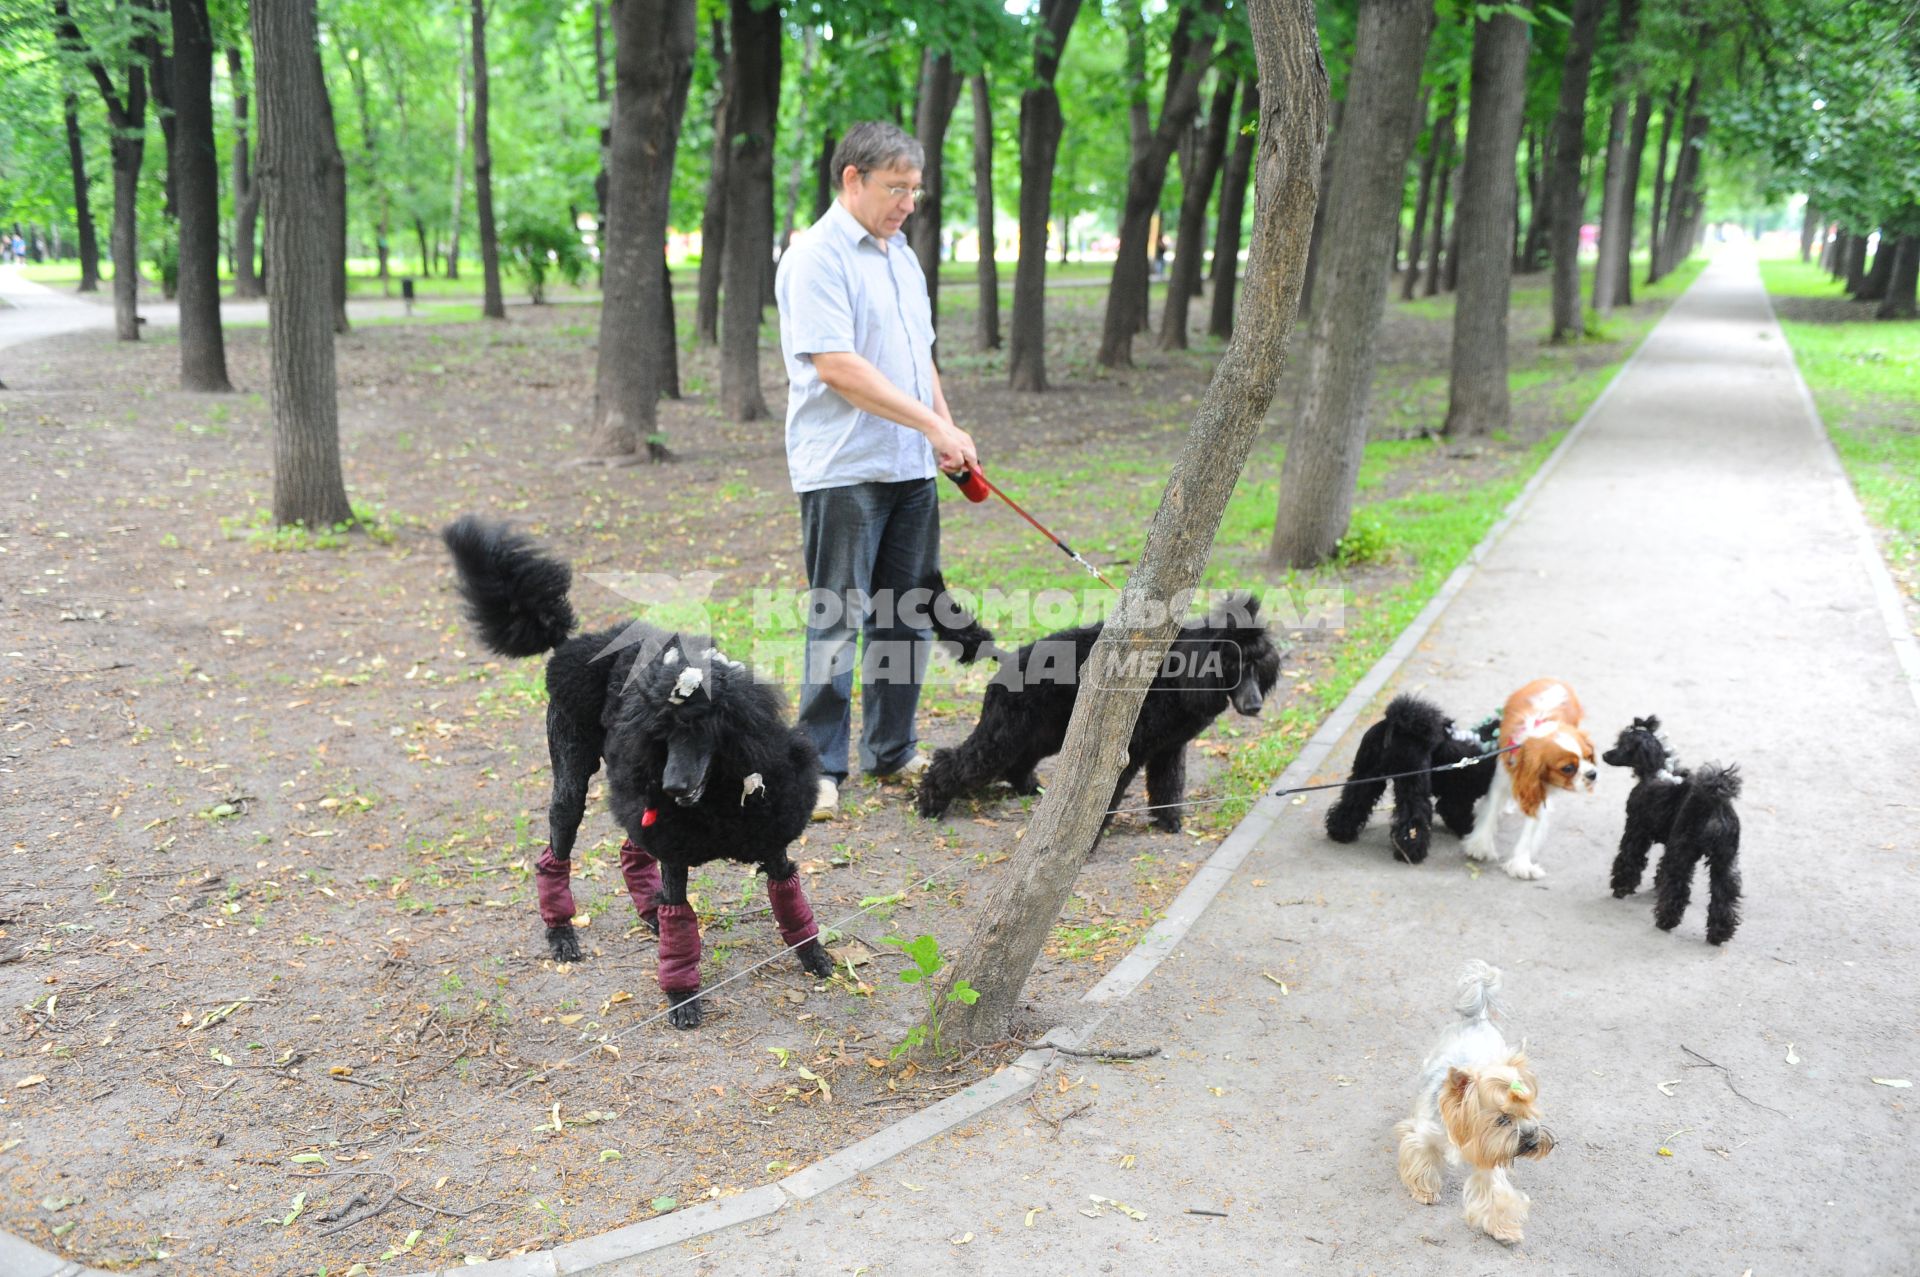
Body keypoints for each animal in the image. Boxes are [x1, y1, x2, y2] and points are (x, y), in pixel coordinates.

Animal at [1459, 675, 1597, 875]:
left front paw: (1521, 864)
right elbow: (1491, 811)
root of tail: (1554, 679)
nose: (1593, 773)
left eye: (1589, 756)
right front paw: (1480, 846)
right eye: (1568, 768)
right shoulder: (1502, 779)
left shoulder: (1538, 791)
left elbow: (1530, 829)